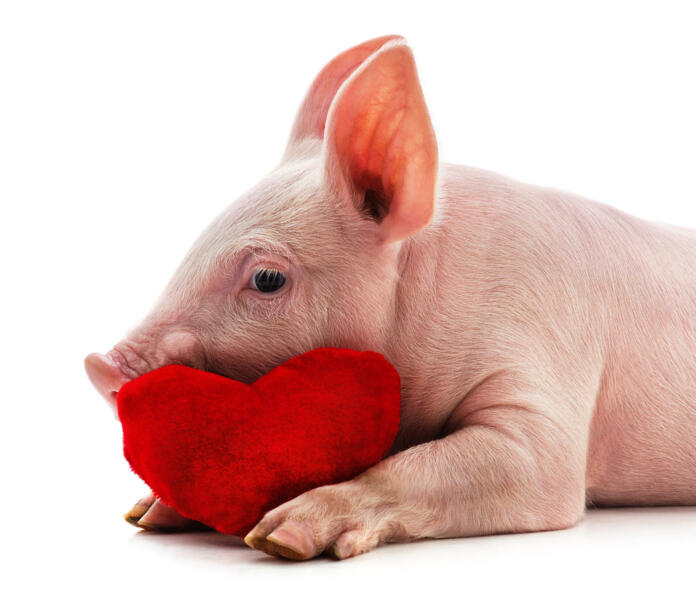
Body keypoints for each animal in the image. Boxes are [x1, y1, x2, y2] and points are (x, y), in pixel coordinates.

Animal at [85, 34, 696, 560]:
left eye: (267, 279)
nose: (99, 363)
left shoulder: (546, 378)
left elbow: (503, 465)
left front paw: (278, 539)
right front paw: (148, 514)